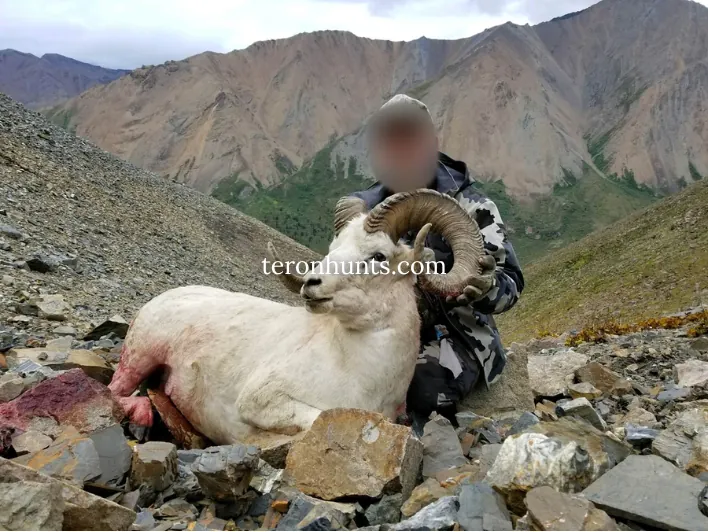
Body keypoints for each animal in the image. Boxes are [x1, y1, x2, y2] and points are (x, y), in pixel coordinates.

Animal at [108, 190, 484, 444]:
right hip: (139, 357)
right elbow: (319, 416)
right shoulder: (262, 400)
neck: (362, 375)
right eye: (332, 250)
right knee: (114, 391)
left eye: (378, 256)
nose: (311, 284)